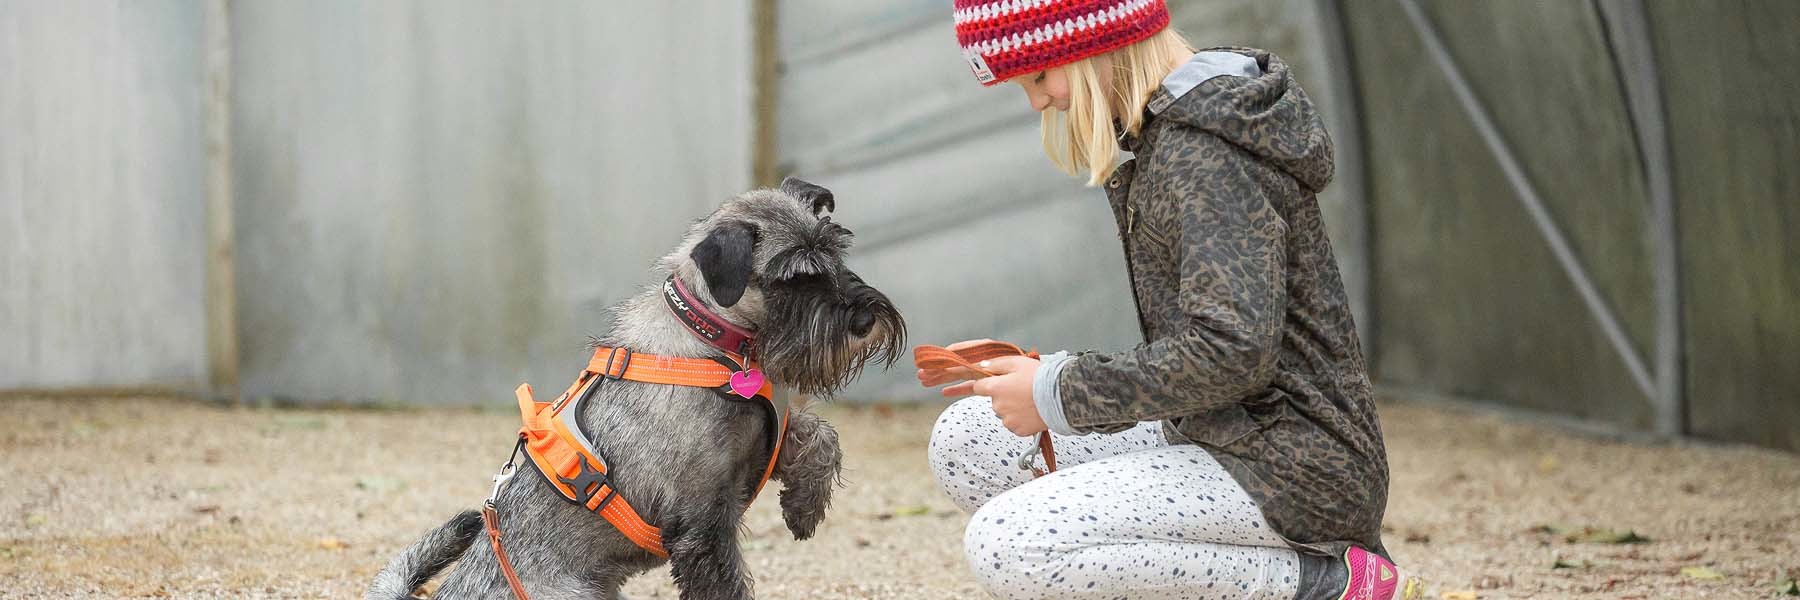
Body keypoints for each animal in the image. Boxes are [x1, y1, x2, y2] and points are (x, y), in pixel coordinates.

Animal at [367, 178, 907, 598]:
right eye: (792, 277)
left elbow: (821, 434)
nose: (865, 320)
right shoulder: (702, 525)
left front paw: (804, 507)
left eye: (836, 250)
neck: (711, 341)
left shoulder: (760, 444)